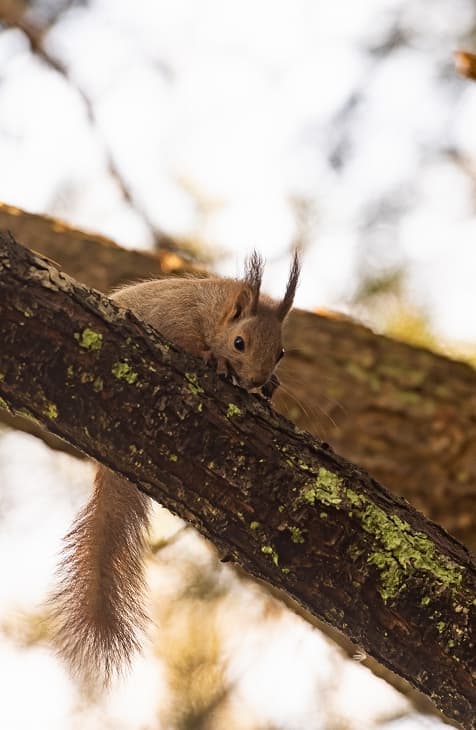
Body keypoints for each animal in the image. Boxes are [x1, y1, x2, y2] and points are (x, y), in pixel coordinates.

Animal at [49, 249, 302, 684]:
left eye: (281, 352)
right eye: (240, 342)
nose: (257, 379)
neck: (216, 309)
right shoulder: (178, 320)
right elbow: (190, 344)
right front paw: (216, 361)